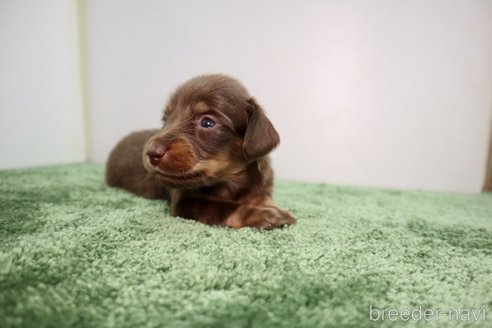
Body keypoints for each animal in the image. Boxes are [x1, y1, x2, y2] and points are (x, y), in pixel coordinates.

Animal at [105, 74, 294, 228]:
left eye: (207, 123)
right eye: (166, 118)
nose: (151, 152)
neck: (231, 181)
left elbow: (263, 198)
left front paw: (268, 207)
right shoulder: (185, 202)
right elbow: (224, 207)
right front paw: (263, 215)